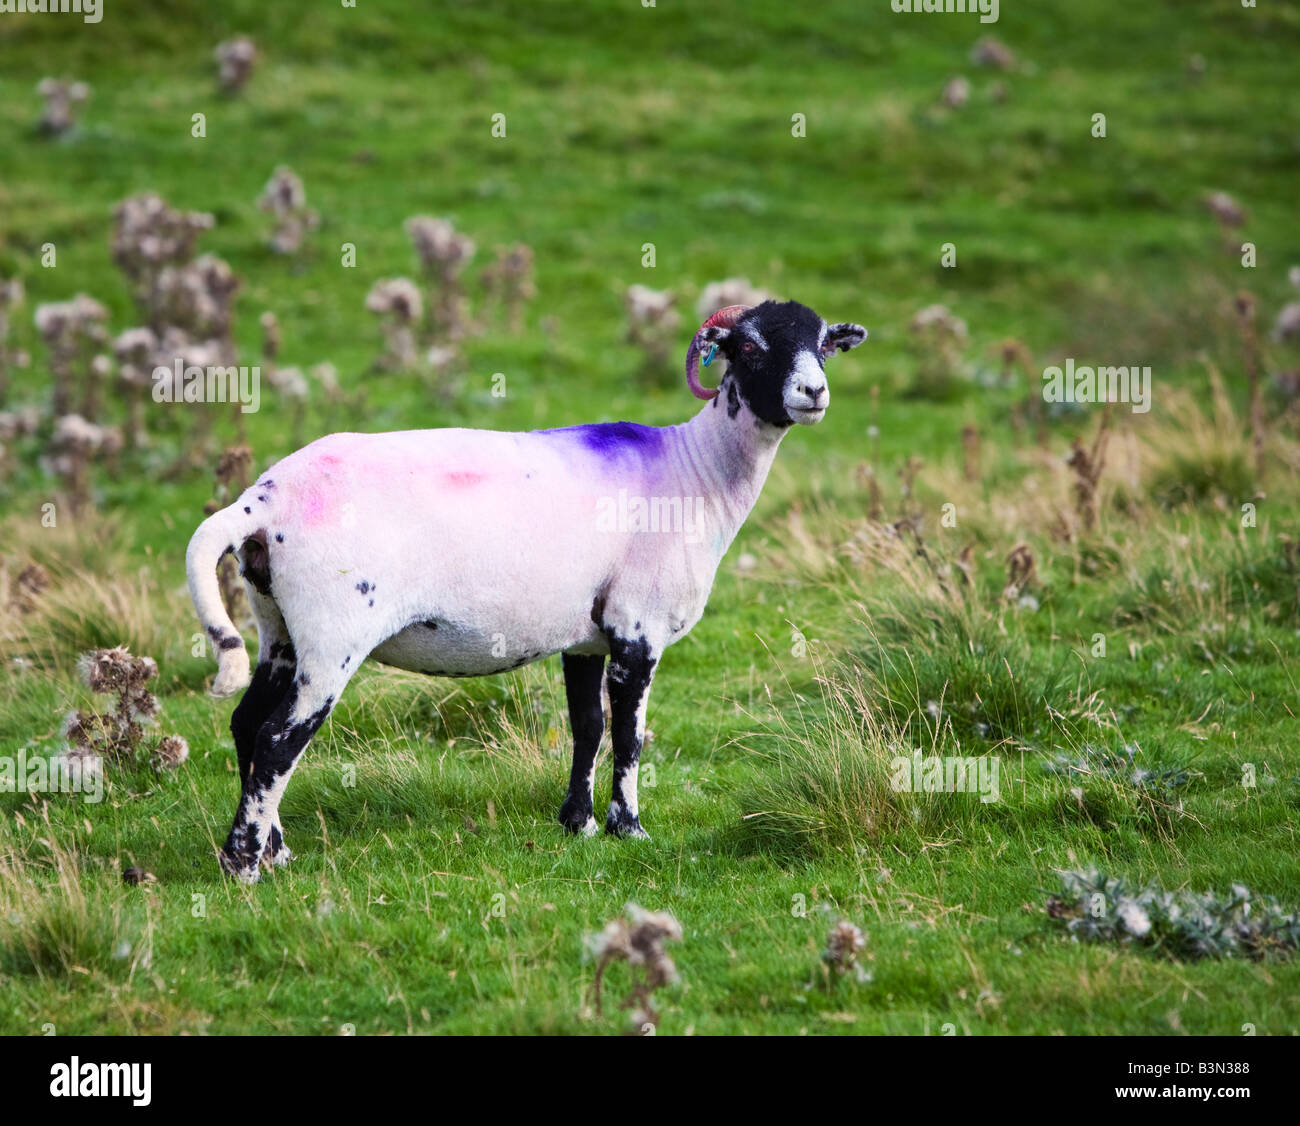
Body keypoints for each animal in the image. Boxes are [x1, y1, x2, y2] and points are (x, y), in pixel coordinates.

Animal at [185, 299, 863, 878]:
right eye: (748, 347)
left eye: (823, 347)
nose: (813, 393)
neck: (694, 473)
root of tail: (261, 501)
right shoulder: (638, 628)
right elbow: (628, 736)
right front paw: (629, 828)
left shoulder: (587, 636)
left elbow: (588, 726)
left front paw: (578, 824)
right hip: (332, 638)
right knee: (277, 741)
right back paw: (244, 865)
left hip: (279, 628)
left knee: (247, 724)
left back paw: (275, 851)